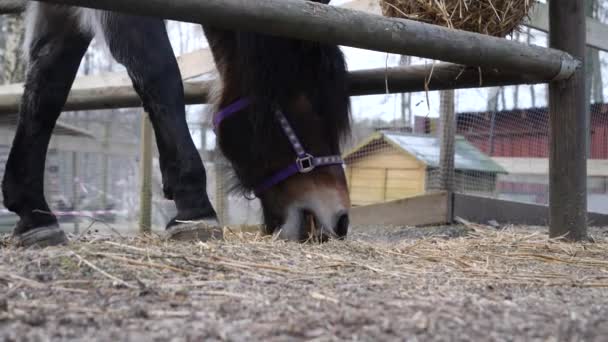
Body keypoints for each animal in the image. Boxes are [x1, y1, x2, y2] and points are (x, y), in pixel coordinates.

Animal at [1, 0, 352, 246]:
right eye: (304, 100)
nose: (339, 221)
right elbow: (160, 73)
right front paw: (195, 208)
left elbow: (46, 89)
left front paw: (34, 215)